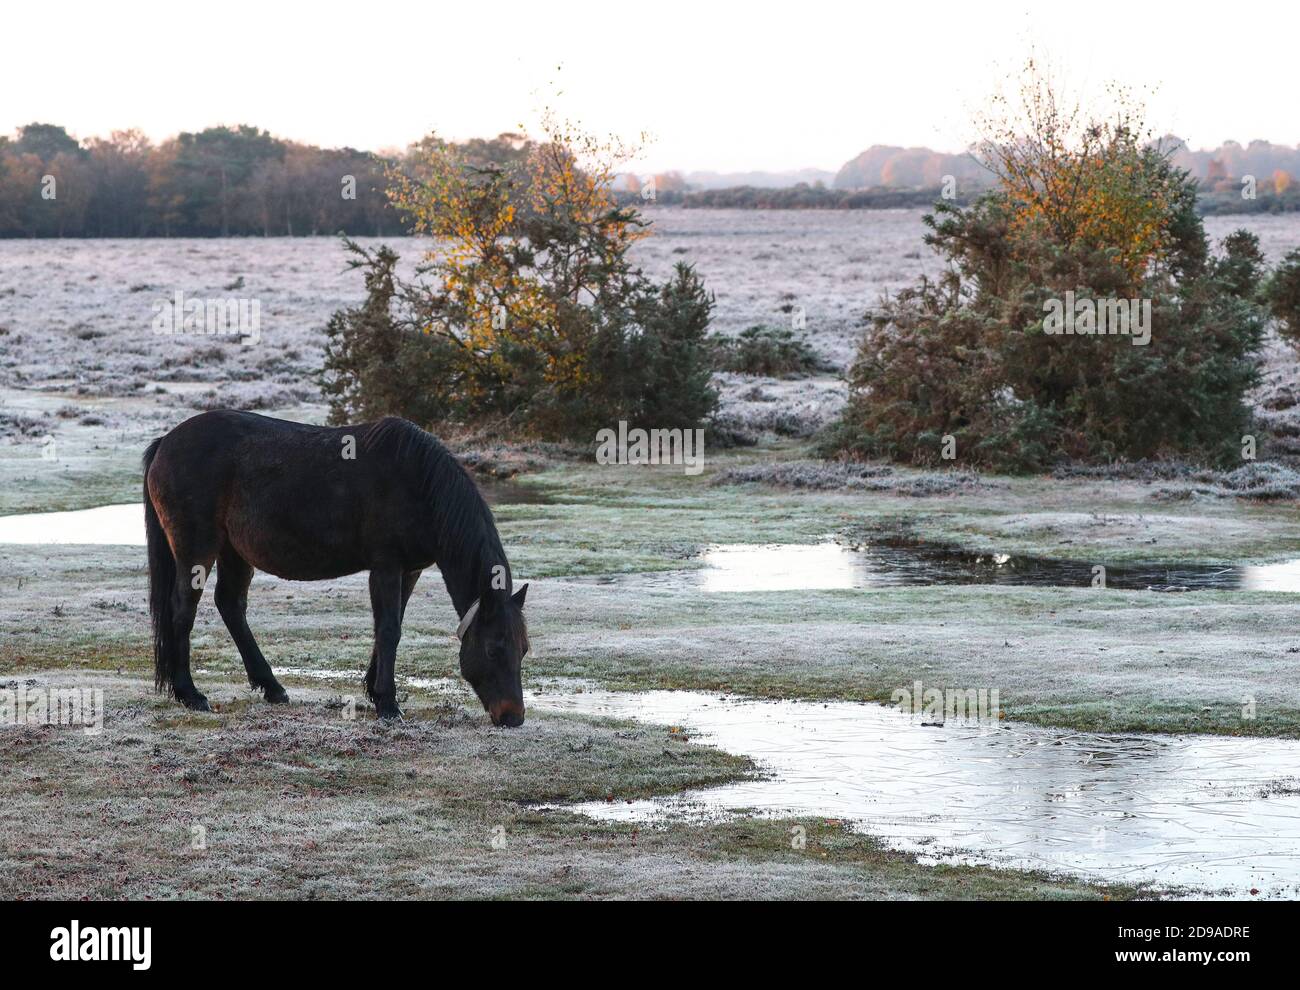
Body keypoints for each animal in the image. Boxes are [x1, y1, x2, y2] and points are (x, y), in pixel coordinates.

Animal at [143, 407, 527, 727]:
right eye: (493, 649)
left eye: (523, 649)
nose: (513, 717)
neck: (419, 483)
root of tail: (165, 443)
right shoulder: (386, 566)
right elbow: (389, 629)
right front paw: (388, 704)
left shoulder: (410, 570)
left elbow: (392, 625)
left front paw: (375, 691)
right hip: (197, 549)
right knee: (183, 610)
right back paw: (190, 694)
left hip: (233, 551)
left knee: (230, 605)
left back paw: (272, 687)